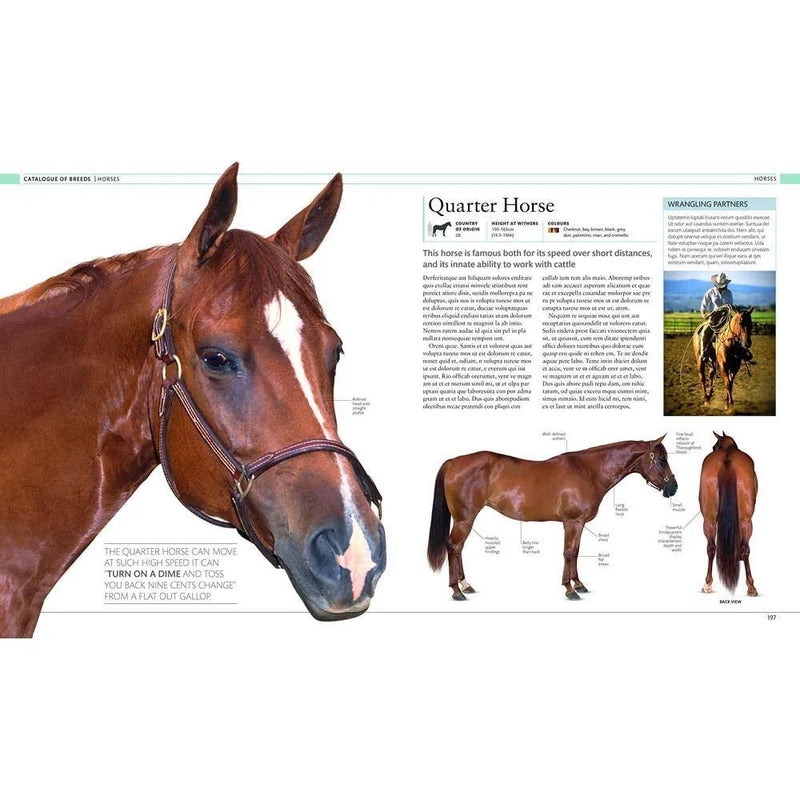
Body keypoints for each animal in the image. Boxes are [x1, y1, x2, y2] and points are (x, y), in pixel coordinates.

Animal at [427, 437, 677, 600]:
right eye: (661, 459)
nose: (673, 488)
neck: (589, 471)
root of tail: (454, 461)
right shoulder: (572, 522)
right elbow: (569, 553)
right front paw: (570, 589)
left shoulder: (578, 524)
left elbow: (575, 552)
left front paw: (579, 584)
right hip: (464, 520)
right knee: (454, 547)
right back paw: (457, 591)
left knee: (458, 549)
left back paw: (466, 585)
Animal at [699, 432, 758, 596]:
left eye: (714, 446)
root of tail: (727, 460)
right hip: (746, 520)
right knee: (745, 549)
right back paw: (751, 587)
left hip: (709, 520)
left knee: (711, 547)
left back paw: (707, 584)